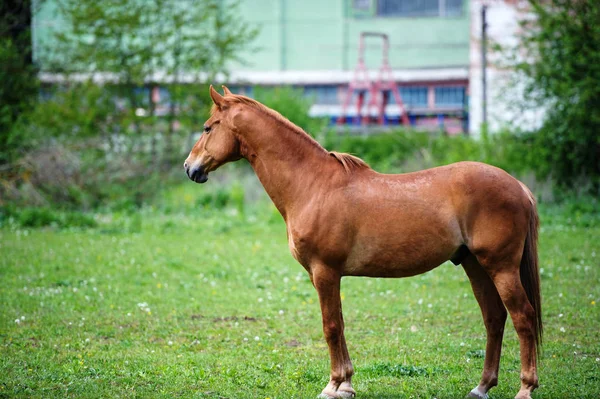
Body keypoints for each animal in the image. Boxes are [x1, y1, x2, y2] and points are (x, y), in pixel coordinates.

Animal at [184, 86, 544, 399]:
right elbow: (340, 325)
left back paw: (525, 388)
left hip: (501, 267)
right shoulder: (326, 275)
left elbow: (330, 326)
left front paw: (333, 386)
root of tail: (519, 187)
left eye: (207, 127)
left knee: (523, 317)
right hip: (474, 264)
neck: (313, 185)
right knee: (494, 318)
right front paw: (346, 385)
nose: (190, 168)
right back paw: (481, 387)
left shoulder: (325, 272)